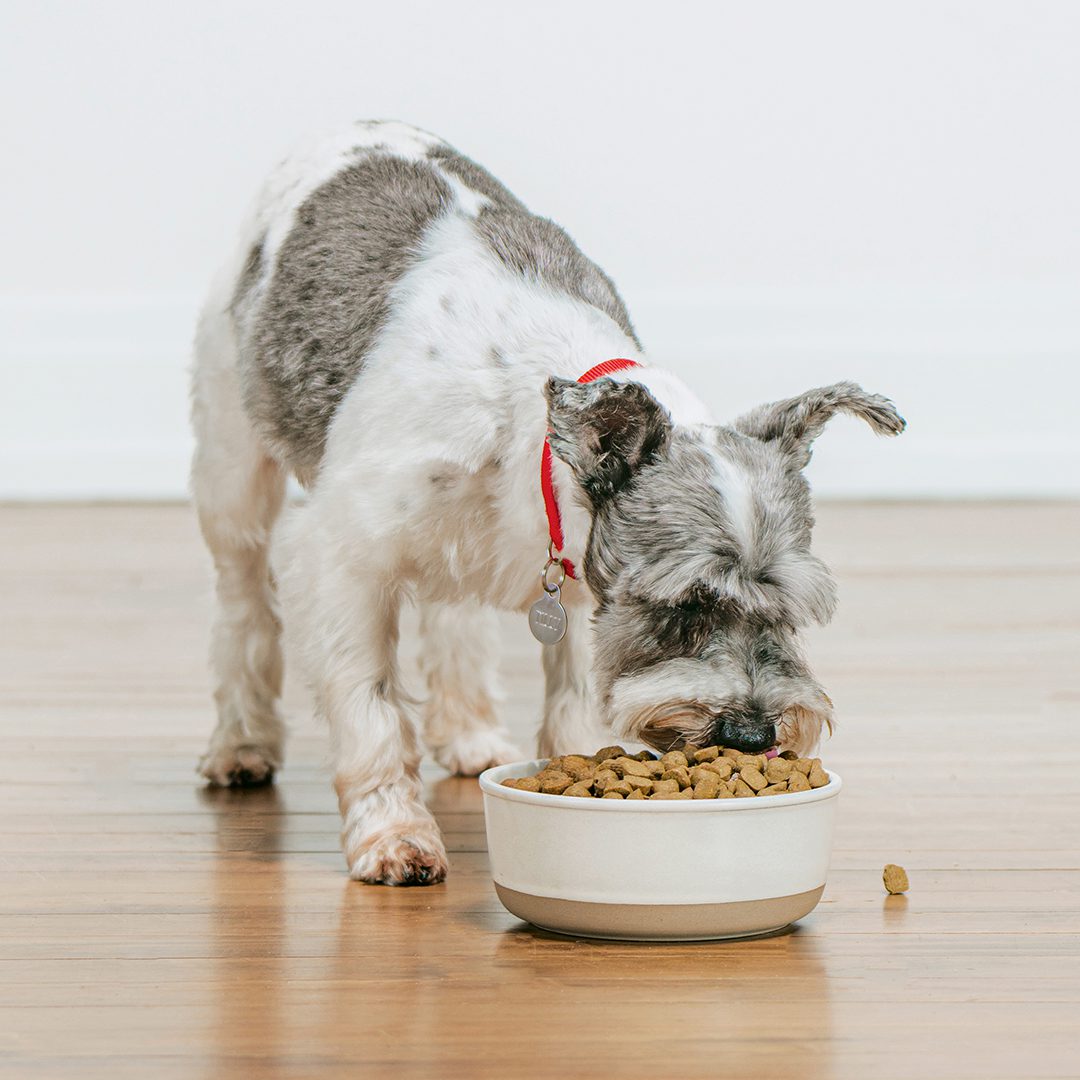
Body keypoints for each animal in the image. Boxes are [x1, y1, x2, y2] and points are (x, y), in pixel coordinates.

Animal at [190, 122, 907, 885]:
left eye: (790, 614)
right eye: (685, 606)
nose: (751, 733)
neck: (528, 422)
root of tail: (351, 126)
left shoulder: (590, 589)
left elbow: (576, 701)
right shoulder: (341, 558)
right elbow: (371, 704)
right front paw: (393, 834)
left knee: (453, 615)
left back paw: (470, 731)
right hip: (232, 478)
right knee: (242, 607)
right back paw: (240, 744)